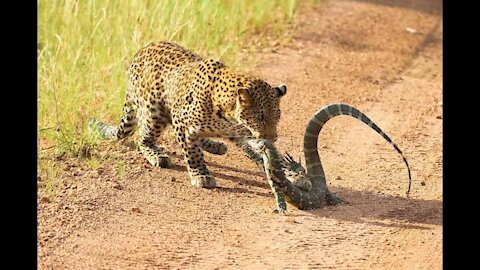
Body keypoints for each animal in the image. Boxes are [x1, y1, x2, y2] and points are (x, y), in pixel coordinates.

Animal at [88, 41, 286, 189]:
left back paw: (215, 145)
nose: (273, 138)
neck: (227, 115)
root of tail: (139, 54)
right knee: (143, 139)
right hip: (154, 114)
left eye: (277, 117)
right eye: (260, 117)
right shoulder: (181, 122)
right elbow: (192, 152)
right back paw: (157, 155)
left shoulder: (239, 132)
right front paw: (201, 175)